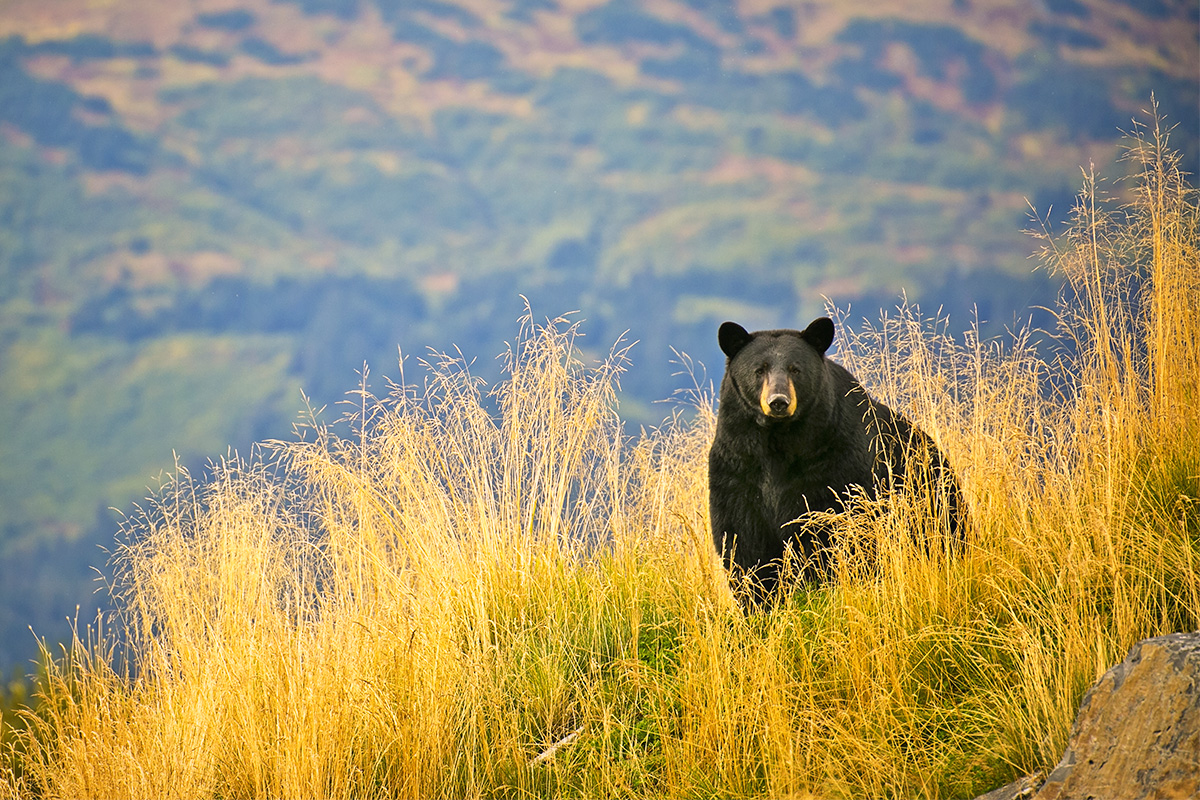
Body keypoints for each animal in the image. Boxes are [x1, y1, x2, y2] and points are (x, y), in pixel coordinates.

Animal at [705, 316, 960, 604]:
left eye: (795, 369)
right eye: (759, 370)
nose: (779, 402)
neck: (778, 442)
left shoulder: (835, 461)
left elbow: (832, 526)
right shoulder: (737, 465)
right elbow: (743, 539)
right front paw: (759, 599)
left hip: (930, 498)